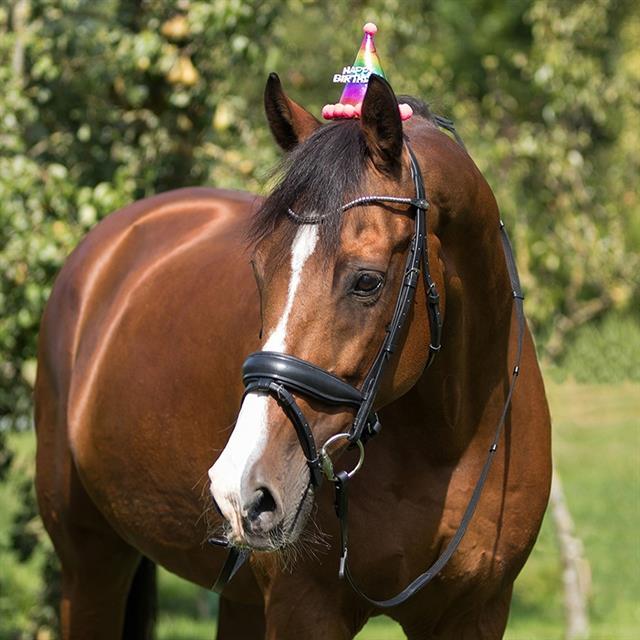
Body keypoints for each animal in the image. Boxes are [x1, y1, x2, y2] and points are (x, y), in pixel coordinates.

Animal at [35, 73, 551, 639]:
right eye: (260, 271)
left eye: (366, 281)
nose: (241, 487)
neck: (447, 442)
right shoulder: (305, 607)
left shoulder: (475, 612)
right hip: (91, 561)